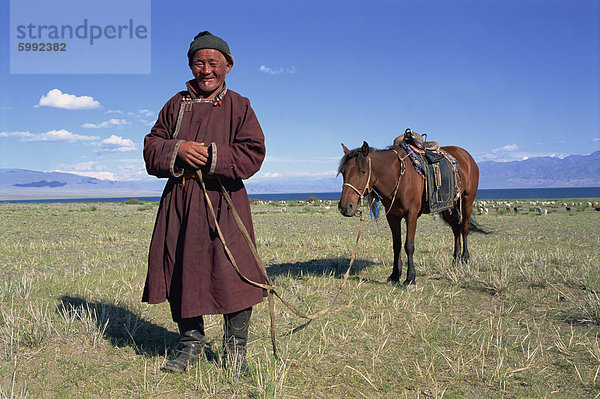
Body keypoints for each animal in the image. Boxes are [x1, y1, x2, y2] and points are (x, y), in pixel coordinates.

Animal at [340, 142, 480, 286]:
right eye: (343, 172)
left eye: (363, 171)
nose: (345, 207)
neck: (398, 176)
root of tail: (467, 156)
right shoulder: (392, 216)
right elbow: (396, 245)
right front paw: (394, 275)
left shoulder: (411, 215)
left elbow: (409, 245)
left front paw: (410, 278)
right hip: (448, 207)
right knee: (456, 229)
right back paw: (455, 260)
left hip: (467, 203)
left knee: (464, 229)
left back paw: (465, 259)